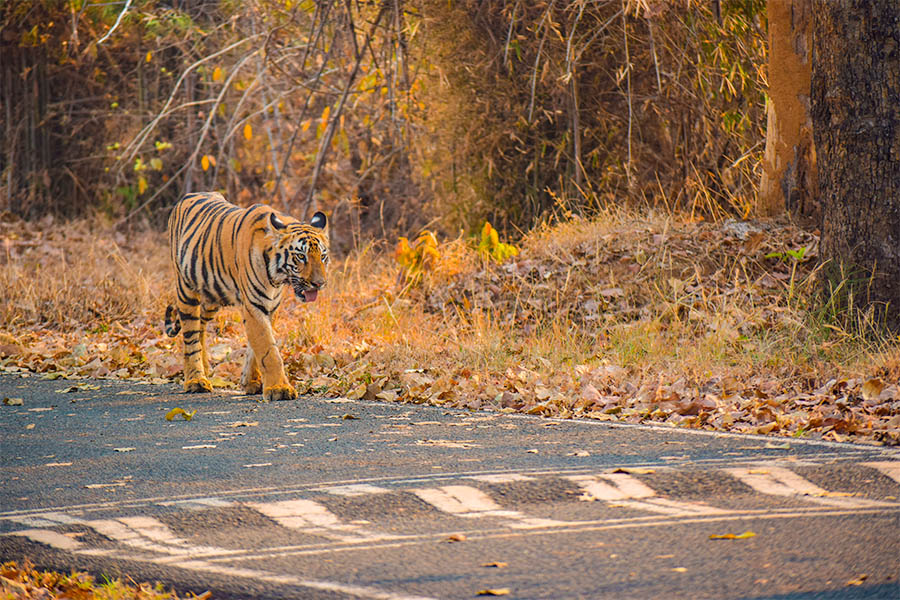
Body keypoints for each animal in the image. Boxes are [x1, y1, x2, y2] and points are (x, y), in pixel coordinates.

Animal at [163, 190, 328, 400]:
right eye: (301, 256)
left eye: (323, 256)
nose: (320, 283)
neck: (277, 277)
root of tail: (188, 195)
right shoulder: (254, 305)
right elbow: (268, 350)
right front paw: (279, 389)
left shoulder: (268, 307)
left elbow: (255, 348)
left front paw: (251, 382)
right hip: (186, 290)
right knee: (190, 335)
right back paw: (196, 380)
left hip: (211, 297)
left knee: (200, 327)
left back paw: (205, 370)